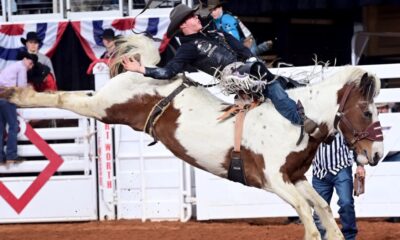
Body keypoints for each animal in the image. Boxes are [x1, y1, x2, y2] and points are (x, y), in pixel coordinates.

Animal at [0, 34, 384, 239]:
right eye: (368, 112)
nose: (378, 154)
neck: (296, 118)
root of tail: (152, 73)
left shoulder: (295, 176)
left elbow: (321, 207)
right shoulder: (274, 179)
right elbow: (307, 211)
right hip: (105, 105)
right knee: (66, 99)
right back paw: (15, 94)